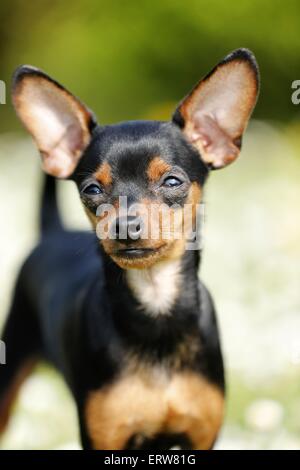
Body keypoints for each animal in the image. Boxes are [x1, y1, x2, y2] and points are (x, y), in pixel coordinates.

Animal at [0, 48, 258, 452]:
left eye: (172, 181)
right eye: (92, 189)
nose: (124, 225)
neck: (156, 306)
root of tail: (54, 231)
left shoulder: (202, 435)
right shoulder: (104, 436)